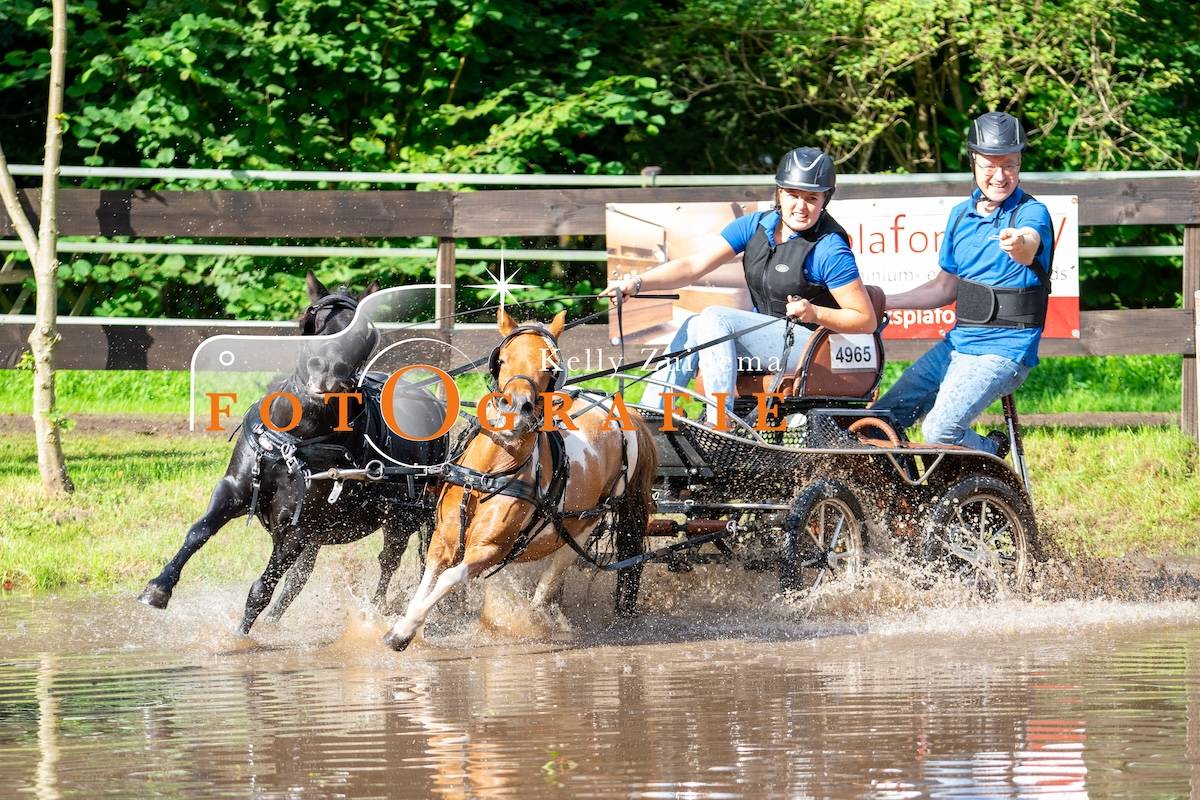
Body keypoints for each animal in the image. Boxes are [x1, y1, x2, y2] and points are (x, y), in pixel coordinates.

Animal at [137, 273, 446, 634]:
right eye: (310, 321)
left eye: (364, 334)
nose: (328, 372)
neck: (296, 440)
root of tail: (431, 400)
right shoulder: (232, 490)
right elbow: (198, 531)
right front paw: (158, 588)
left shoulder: (298, 527)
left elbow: (262, 587)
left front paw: (240, 636)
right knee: (302, 576)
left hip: (403, 518)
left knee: (391, 562)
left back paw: (378, 612)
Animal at [381, 308, 658, 651]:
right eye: (502, 359)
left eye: (550, 366)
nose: (516, 407)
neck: (488, 473)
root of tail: (620, 409)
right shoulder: (443, 537)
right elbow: (429, 578)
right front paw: (404, 625)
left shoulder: (489, 549)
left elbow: (448, 578)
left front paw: (403, 632)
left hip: (583, 527)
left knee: (552, 576)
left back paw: (534, 618)